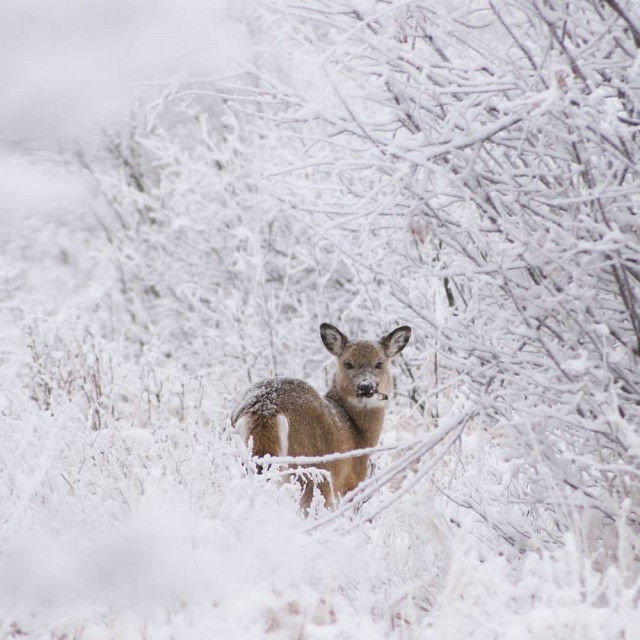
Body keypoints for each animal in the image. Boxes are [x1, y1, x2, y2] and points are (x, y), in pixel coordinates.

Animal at [230, 324, 410, 510]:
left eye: (379, 363)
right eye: (348, 363)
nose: (366, 386)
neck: (357, 433)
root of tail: (266, 406)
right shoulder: (351, 482)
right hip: (311, 471)